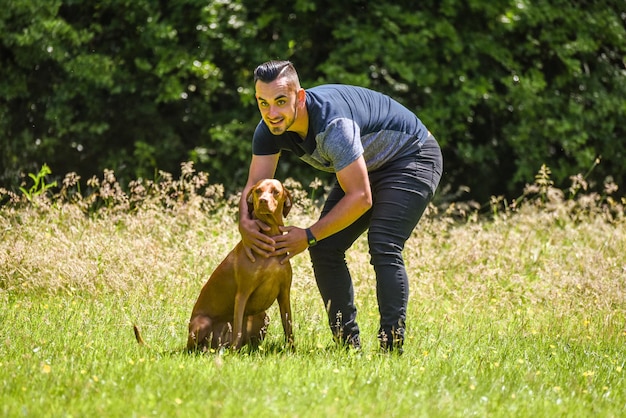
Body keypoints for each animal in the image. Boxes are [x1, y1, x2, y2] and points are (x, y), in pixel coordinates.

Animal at [186, 178, 294, 352]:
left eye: (275, 191)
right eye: (258, 191)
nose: (263, 201)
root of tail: (217, 345)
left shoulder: (284, 293)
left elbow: (289, 327)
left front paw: (291, 351)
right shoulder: (242, 294)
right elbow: (237, 330)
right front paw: (233, 354)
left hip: (263, 317)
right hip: (201, 324)